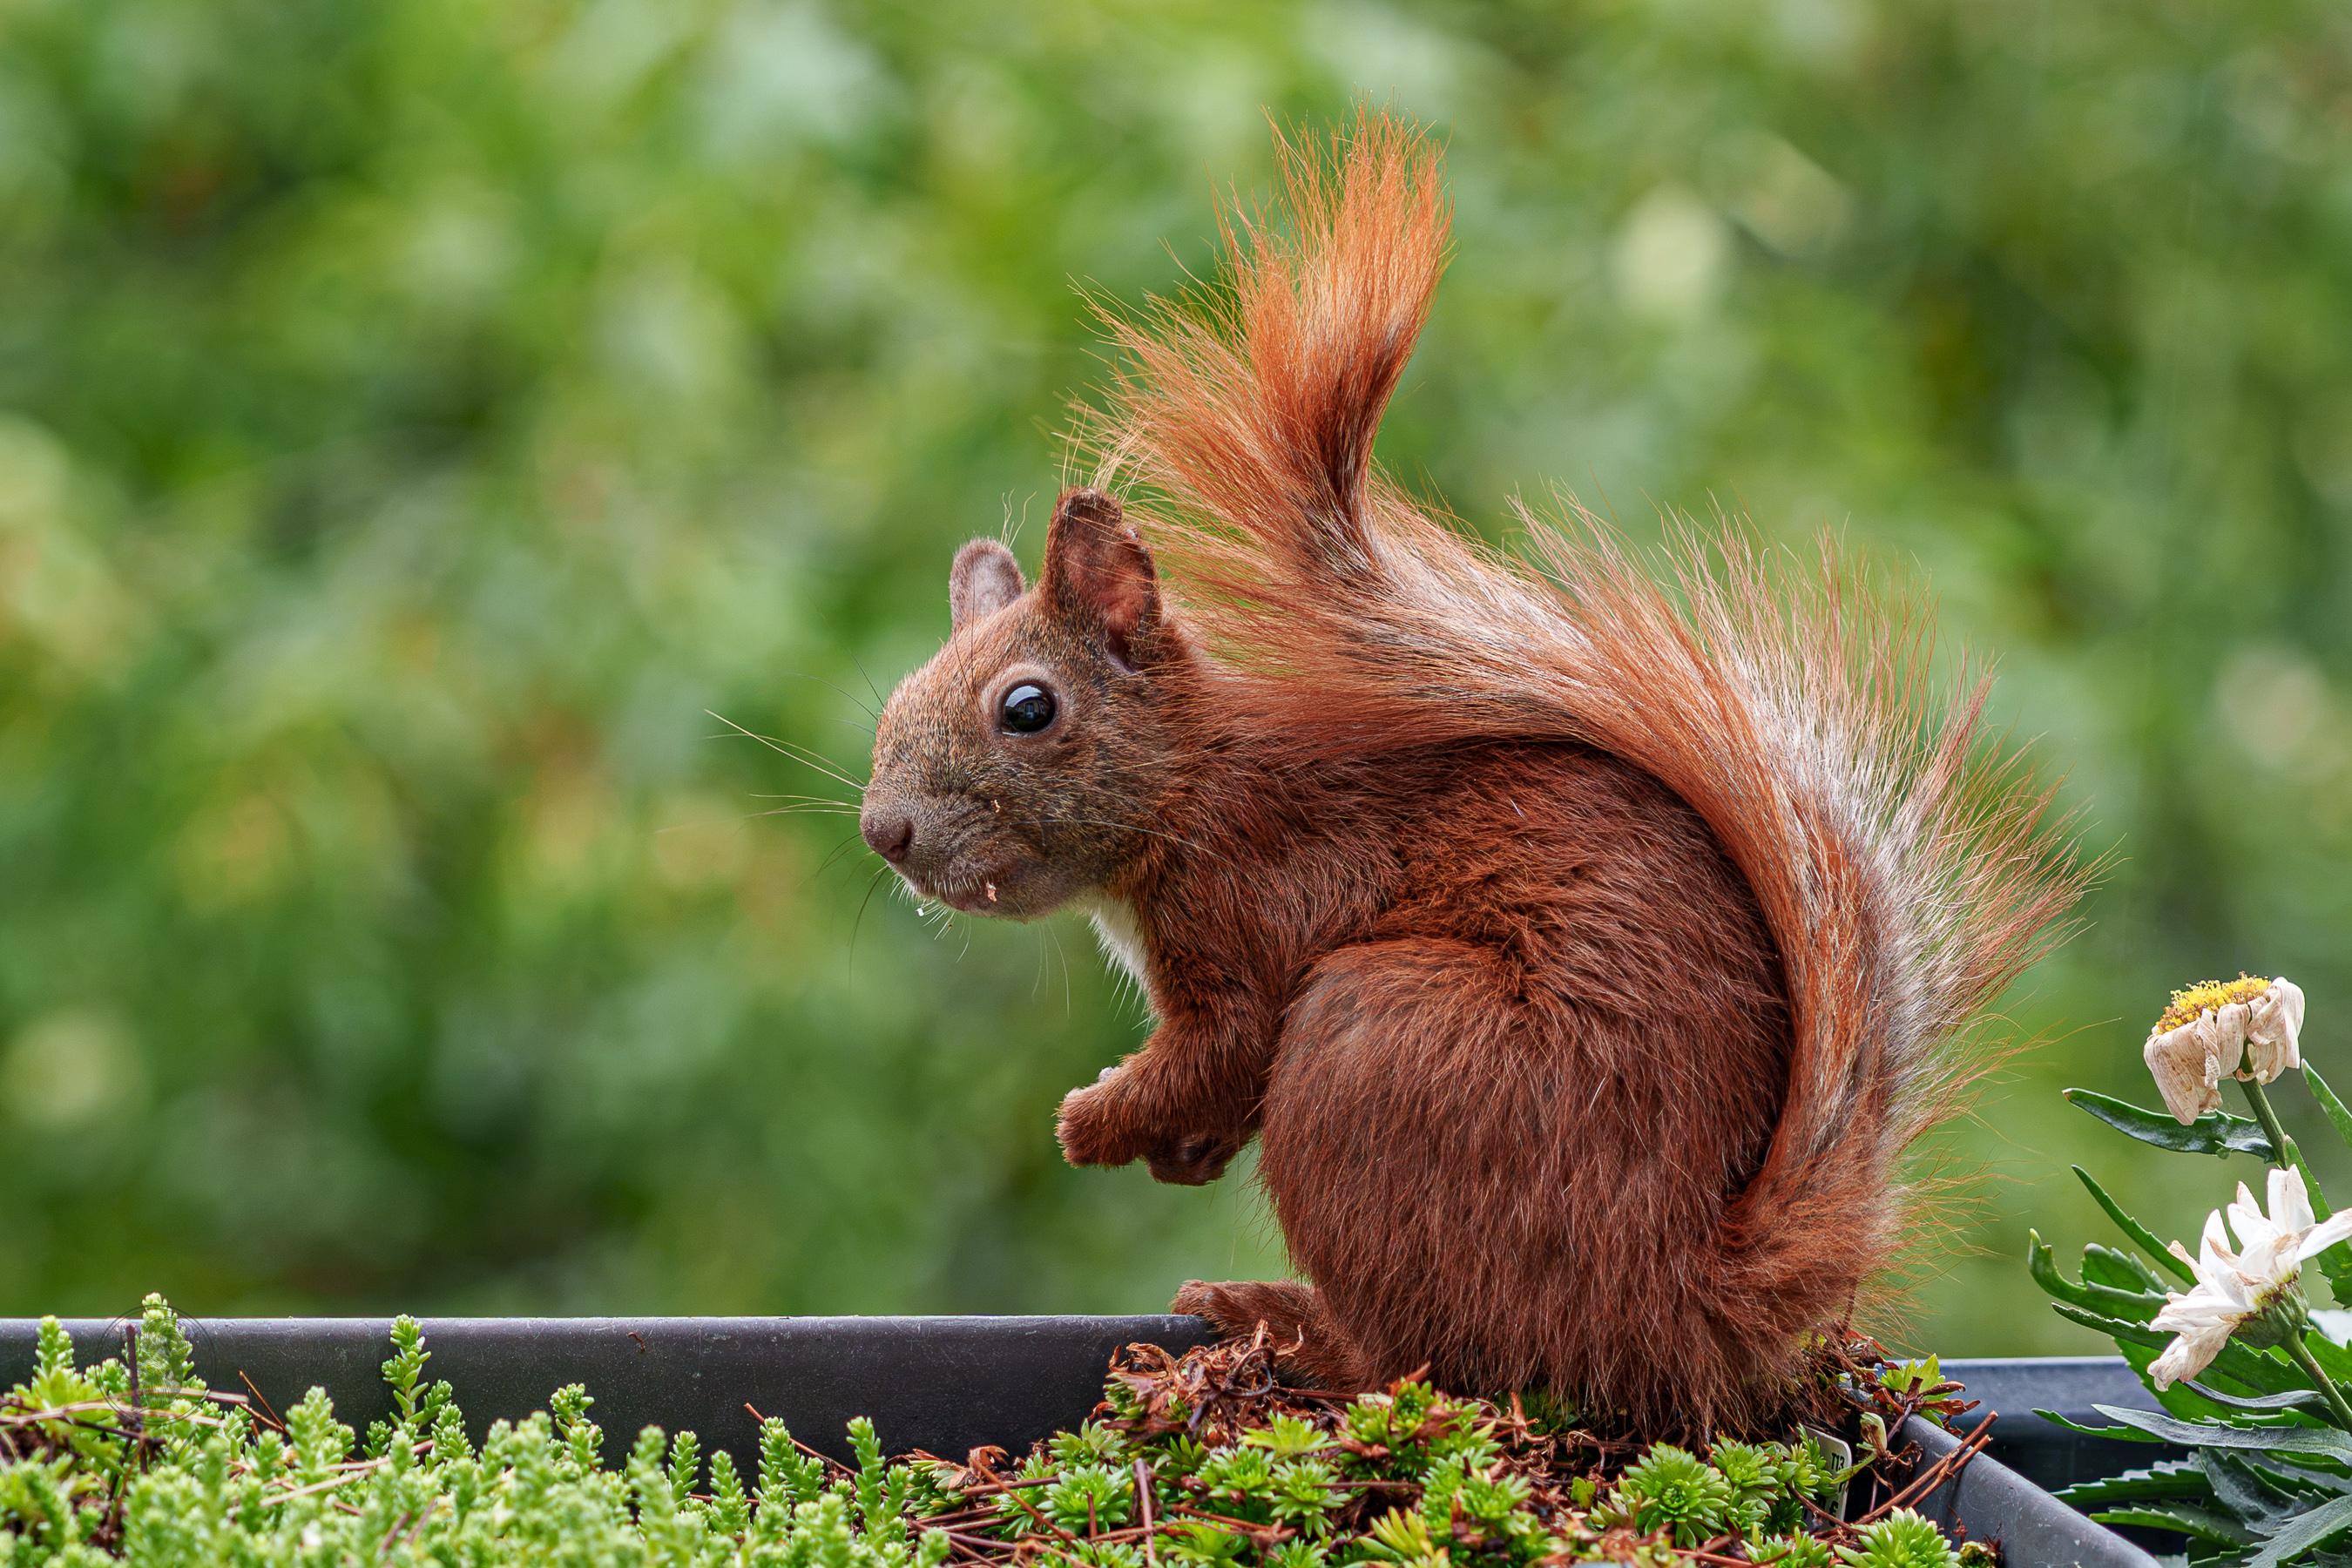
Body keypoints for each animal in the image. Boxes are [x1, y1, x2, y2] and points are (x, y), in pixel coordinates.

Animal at [857, 114, 2084, 1429]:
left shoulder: (1259, 902)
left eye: (1027, 709)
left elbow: (1222, 1046)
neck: (1191, 793)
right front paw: (1173, 1151)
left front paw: (1092, 1122)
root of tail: (1676, 1304)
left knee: (1423, 1352)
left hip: (1383, 1043)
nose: (886, 833)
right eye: (900, 696)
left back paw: (1280, 1323)